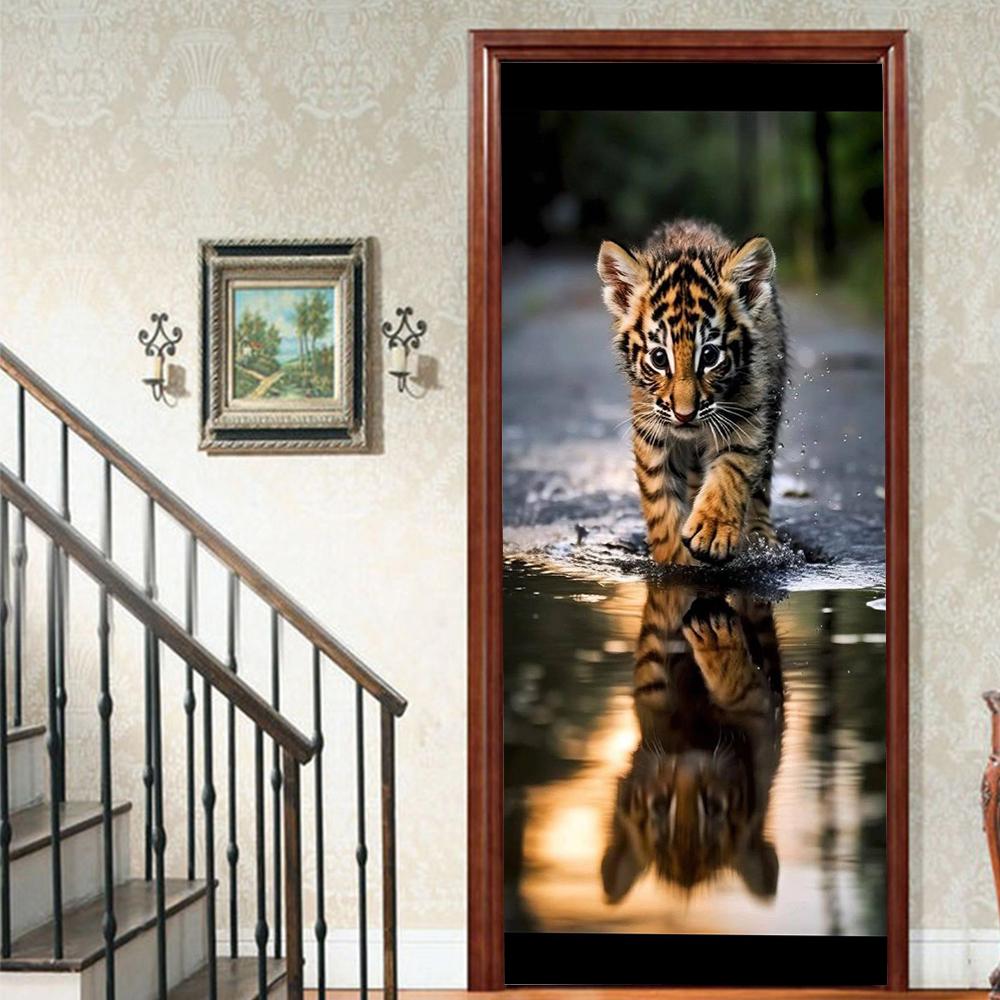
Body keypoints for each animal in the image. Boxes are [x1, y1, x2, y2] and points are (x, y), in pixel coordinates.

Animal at [597, 219, 786, 565]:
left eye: (709, 356)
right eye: (659, 358)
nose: (684, 414)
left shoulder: (747, 415)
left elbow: (731, 472)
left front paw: (711, 530)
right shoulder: (651, 426)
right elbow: (659, 498)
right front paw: (675, 560)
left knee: (761, 486)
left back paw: (761, 537)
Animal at [600, 583, 784, 904]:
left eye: (714, 806)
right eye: (660, 806)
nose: (688, 772)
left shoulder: (762, 717)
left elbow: (741, 687)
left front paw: (716, 638)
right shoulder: (650, 698)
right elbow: (657, 636)